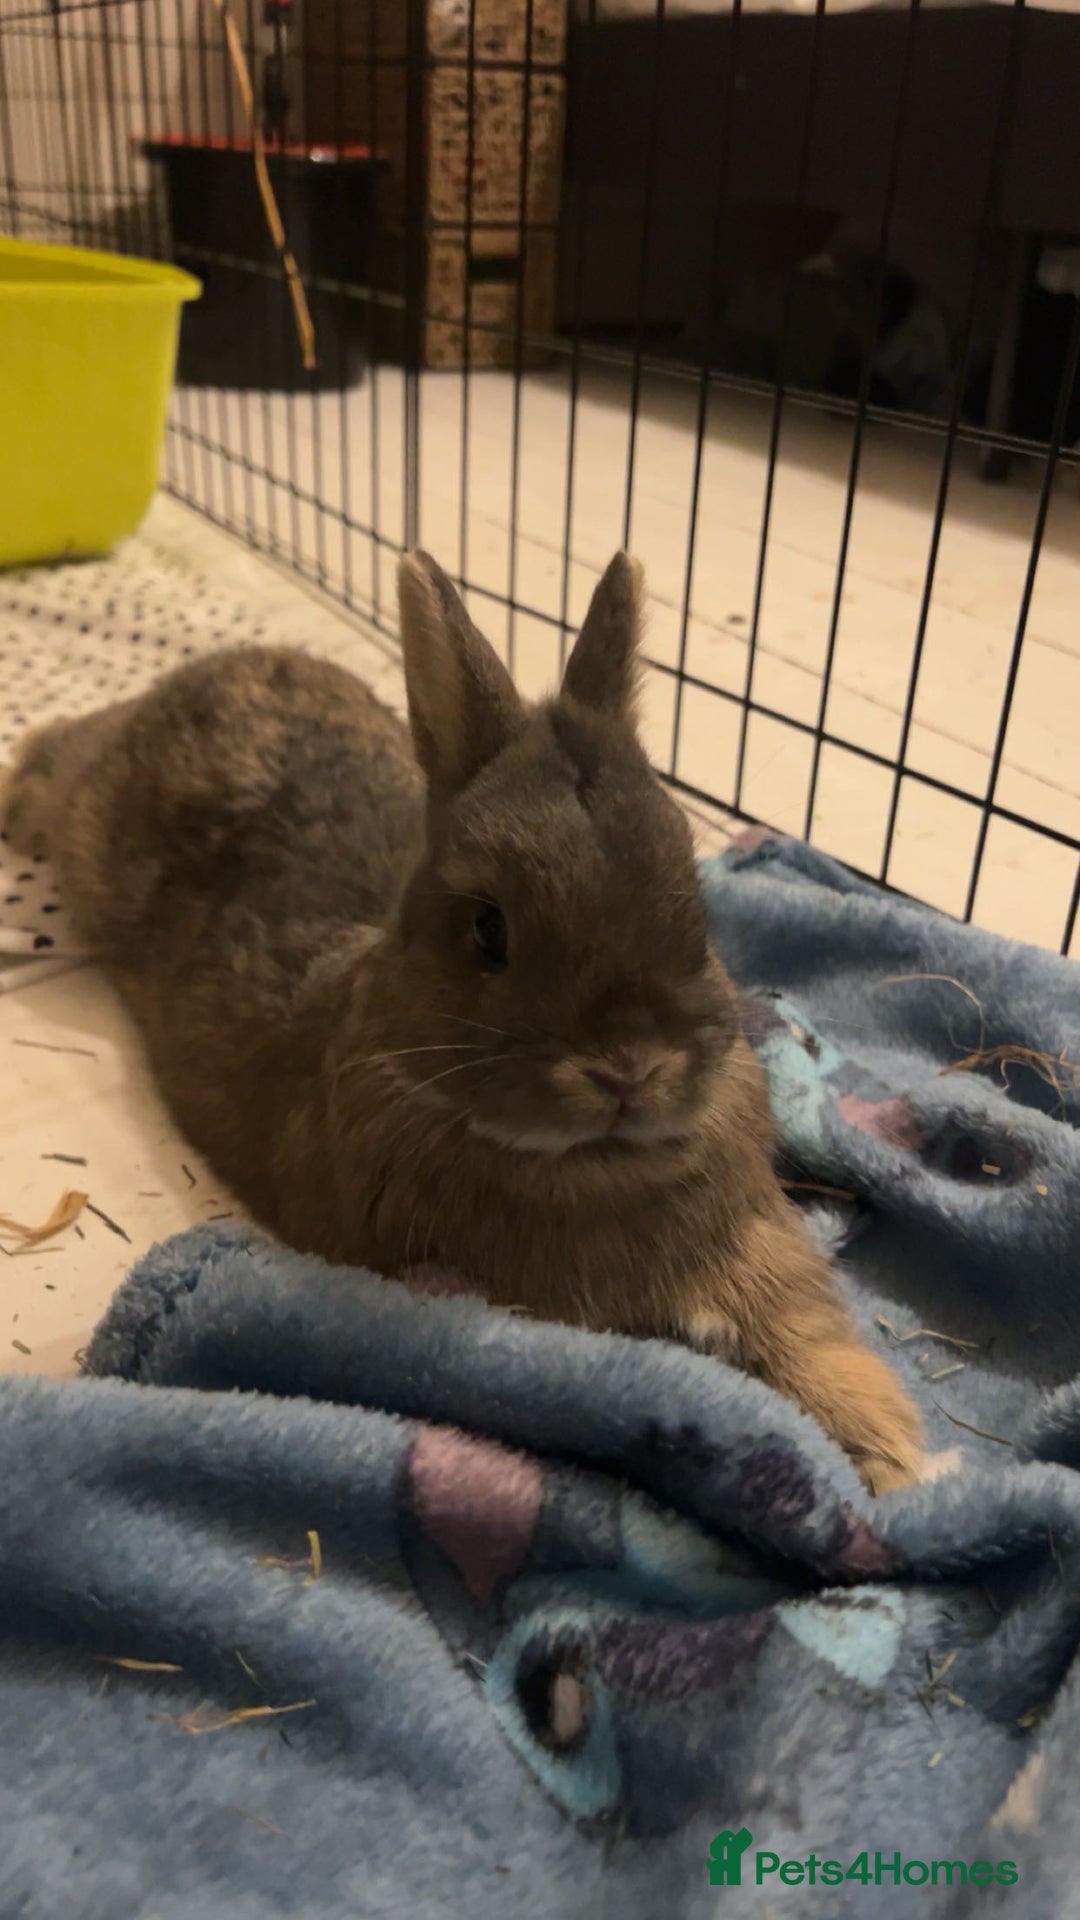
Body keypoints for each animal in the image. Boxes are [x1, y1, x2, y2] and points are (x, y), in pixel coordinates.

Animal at [2, 550, 922, 1492]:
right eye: (489, 928)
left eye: (694, 909)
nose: (627, 1070)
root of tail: (217, 666)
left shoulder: (751, 1247)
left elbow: (799, 1326)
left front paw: (890, 1452)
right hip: (83, 822)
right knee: (54, 764)